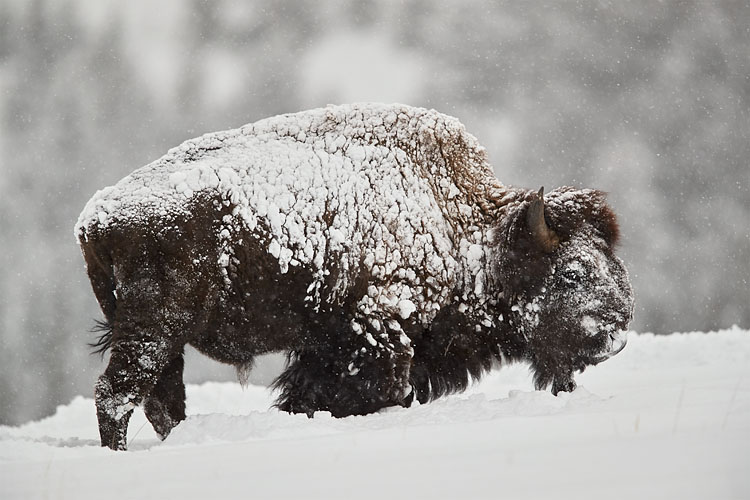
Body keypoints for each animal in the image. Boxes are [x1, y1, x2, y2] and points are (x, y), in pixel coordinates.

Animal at [75, 102, 636, 450]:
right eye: (570, 273)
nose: (616, 331)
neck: (464, 227)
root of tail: (96, 218)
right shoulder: (373, 338)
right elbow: (364, 393)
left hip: (162, 339)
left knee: (159, 402)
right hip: (154, 330)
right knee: (118, 395)